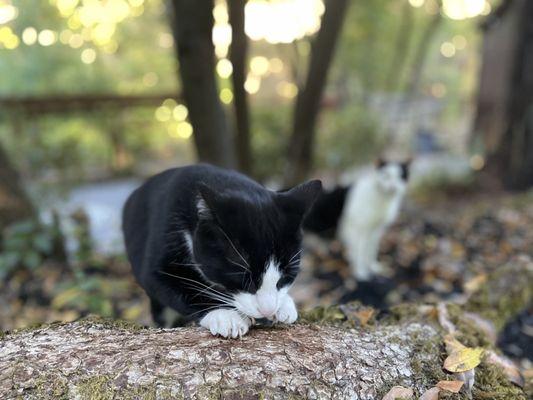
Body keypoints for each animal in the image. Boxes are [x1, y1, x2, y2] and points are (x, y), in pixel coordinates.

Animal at [122, 163, 320, 338]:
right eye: (245, 281)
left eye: (286, 278)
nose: (268, 309)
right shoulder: (163, 234)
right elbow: (179, 285)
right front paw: (227, 315)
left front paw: (285, 305)